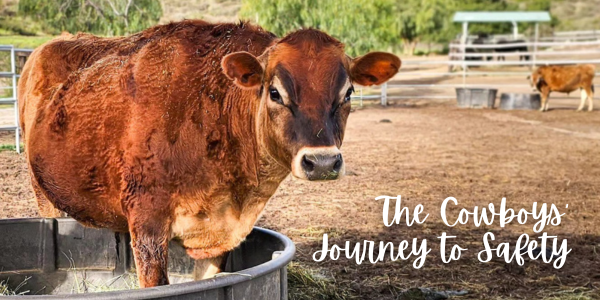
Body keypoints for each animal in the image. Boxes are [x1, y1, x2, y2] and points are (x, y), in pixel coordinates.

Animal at [18, 19, 400, 288]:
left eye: (348, 92)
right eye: (275, 92)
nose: (321, 161)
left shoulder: (221, 237)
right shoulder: (147, 222)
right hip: (42, 190)